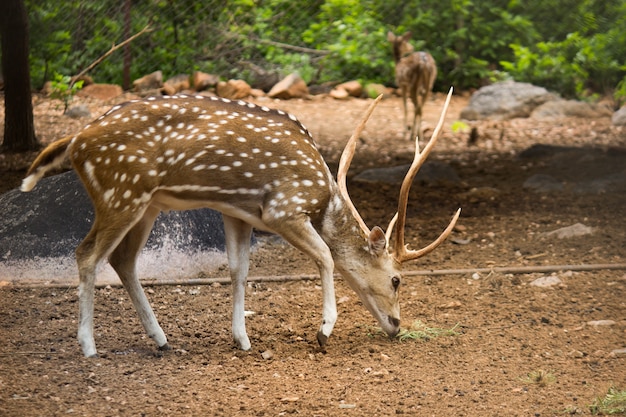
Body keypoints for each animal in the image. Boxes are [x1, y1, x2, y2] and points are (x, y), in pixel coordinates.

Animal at [20, 89, 458, 356]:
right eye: (397, 279)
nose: (397, 325)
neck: (322, 196)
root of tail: (74, 143)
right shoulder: (284, 207)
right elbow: (326, 256)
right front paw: (323, 332)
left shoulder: (238, 212)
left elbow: (239, 269)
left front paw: (242, 339)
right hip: (121, 193)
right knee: (87, 253)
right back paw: (89, 346)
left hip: (146, 205)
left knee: (121, 259)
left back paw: (161, 339)